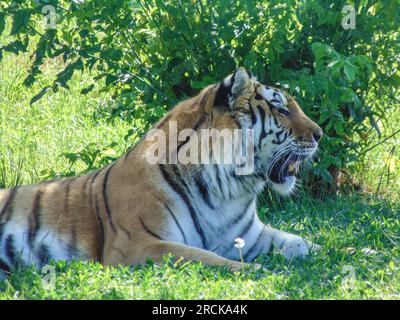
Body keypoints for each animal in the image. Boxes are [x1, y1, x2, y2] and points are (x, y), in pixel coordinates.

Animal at [0, 66, 322, 272]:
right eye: (281, 109)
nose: (320, 134)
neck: (227, 191)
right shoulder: (137, 244)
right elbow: (206, 258)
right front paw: (259, 272)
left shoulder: (253, 235)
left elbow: (304, 244)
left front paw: (333, 251)